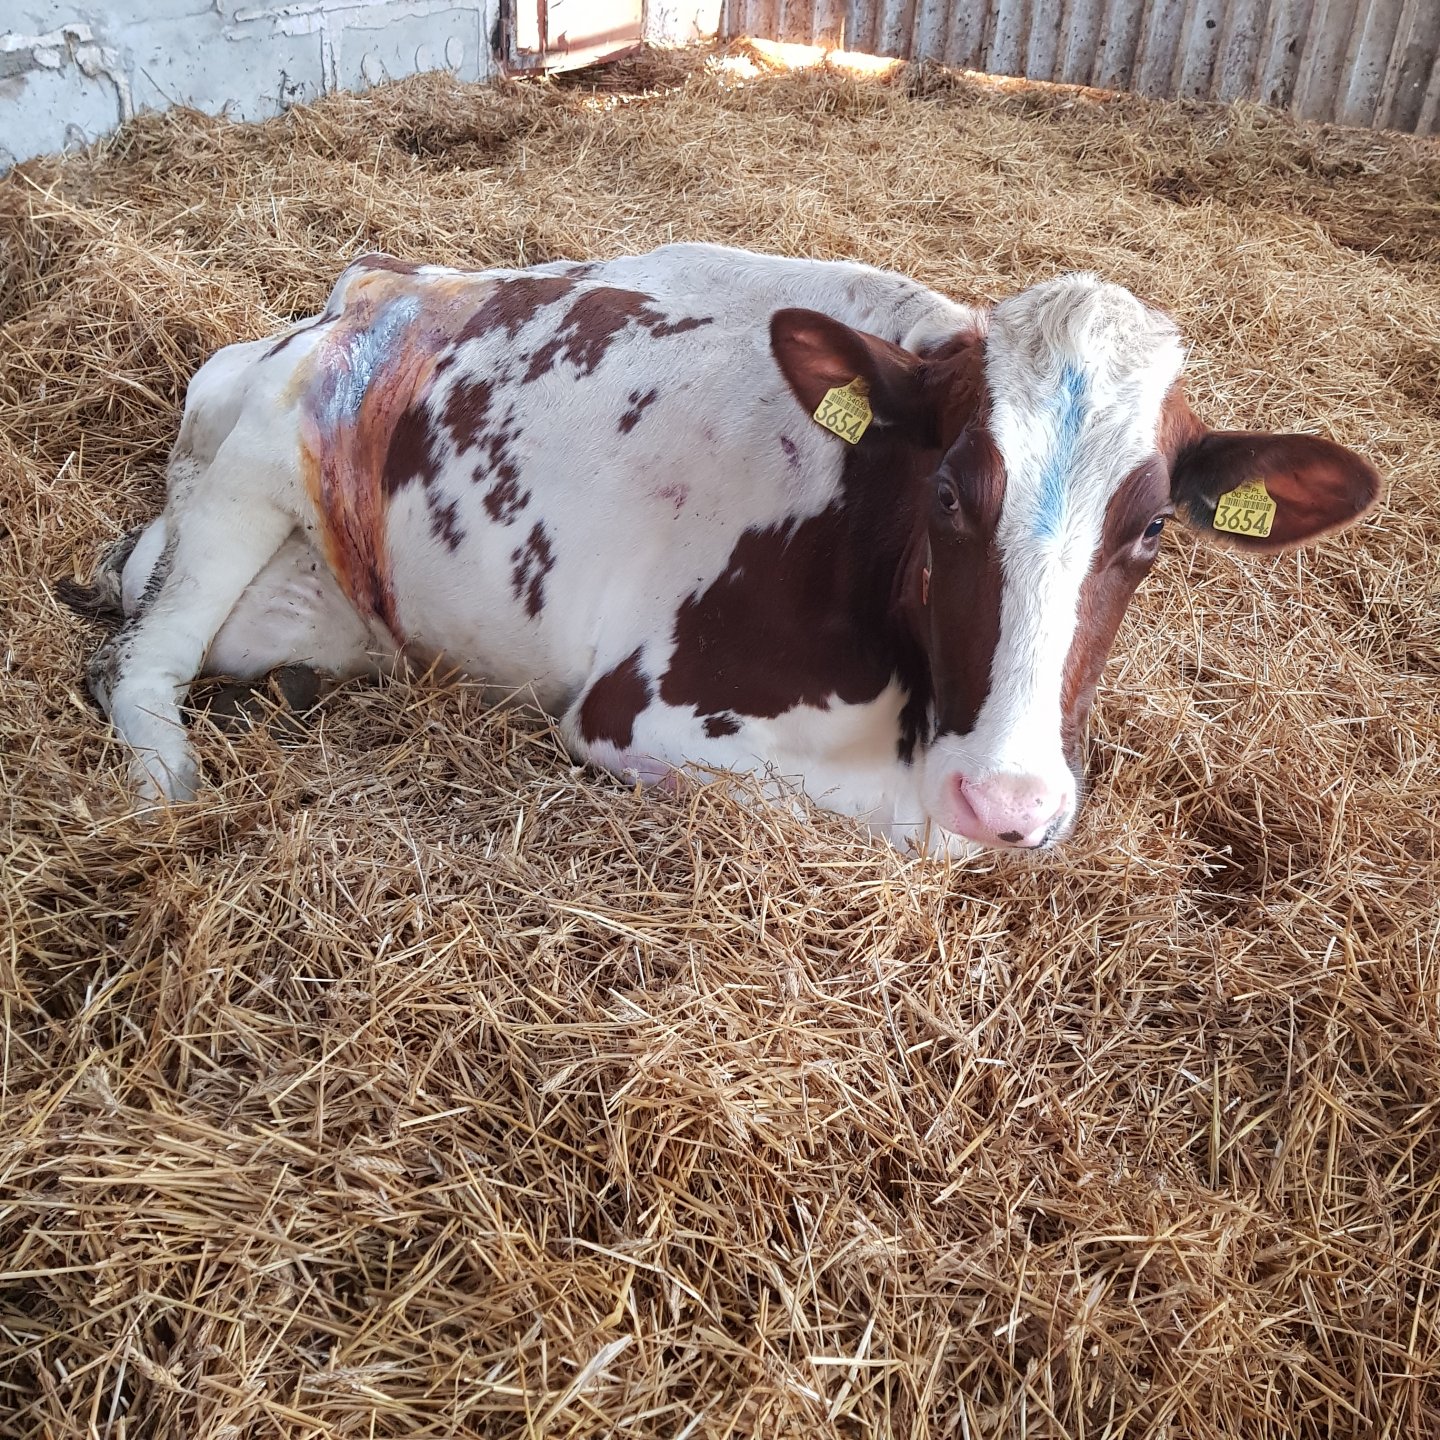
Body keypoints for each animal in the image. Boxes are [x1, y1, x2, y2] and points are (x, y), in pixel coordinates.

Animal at [69, 243, 1381, 855]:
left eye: (1152, 527)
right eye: (950, 489)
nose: (1004, 799)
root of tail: (365, 288)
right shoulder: (632, 714)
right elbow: (905, 830)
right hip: (249, 474)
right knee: (137, 664)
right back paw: (166, 778)